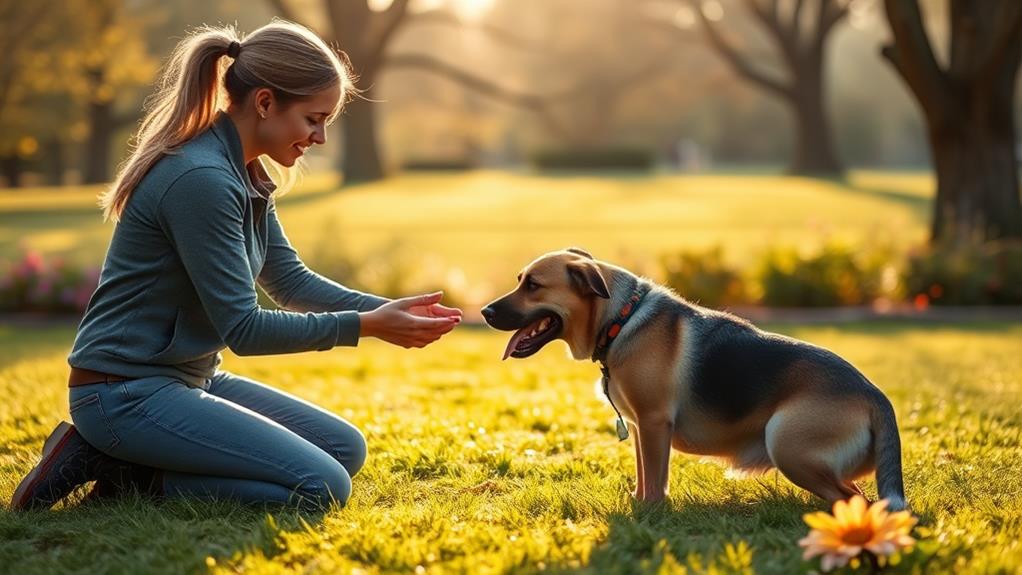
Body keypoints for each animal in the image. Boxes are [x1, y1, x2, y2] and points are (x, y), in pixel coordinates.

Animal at [482, 247, 907, 508]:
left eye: (533, 285)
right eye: (521, 280)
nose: (485, 312)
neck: (620, 320)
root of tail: (875, 395)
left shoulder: (654, 424)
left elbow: (655, 481)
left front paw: (651, 513)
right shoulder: (639, 427)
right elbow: (643, 475)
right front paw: (639, 505)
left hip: (787, 443)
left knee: (860, 501)